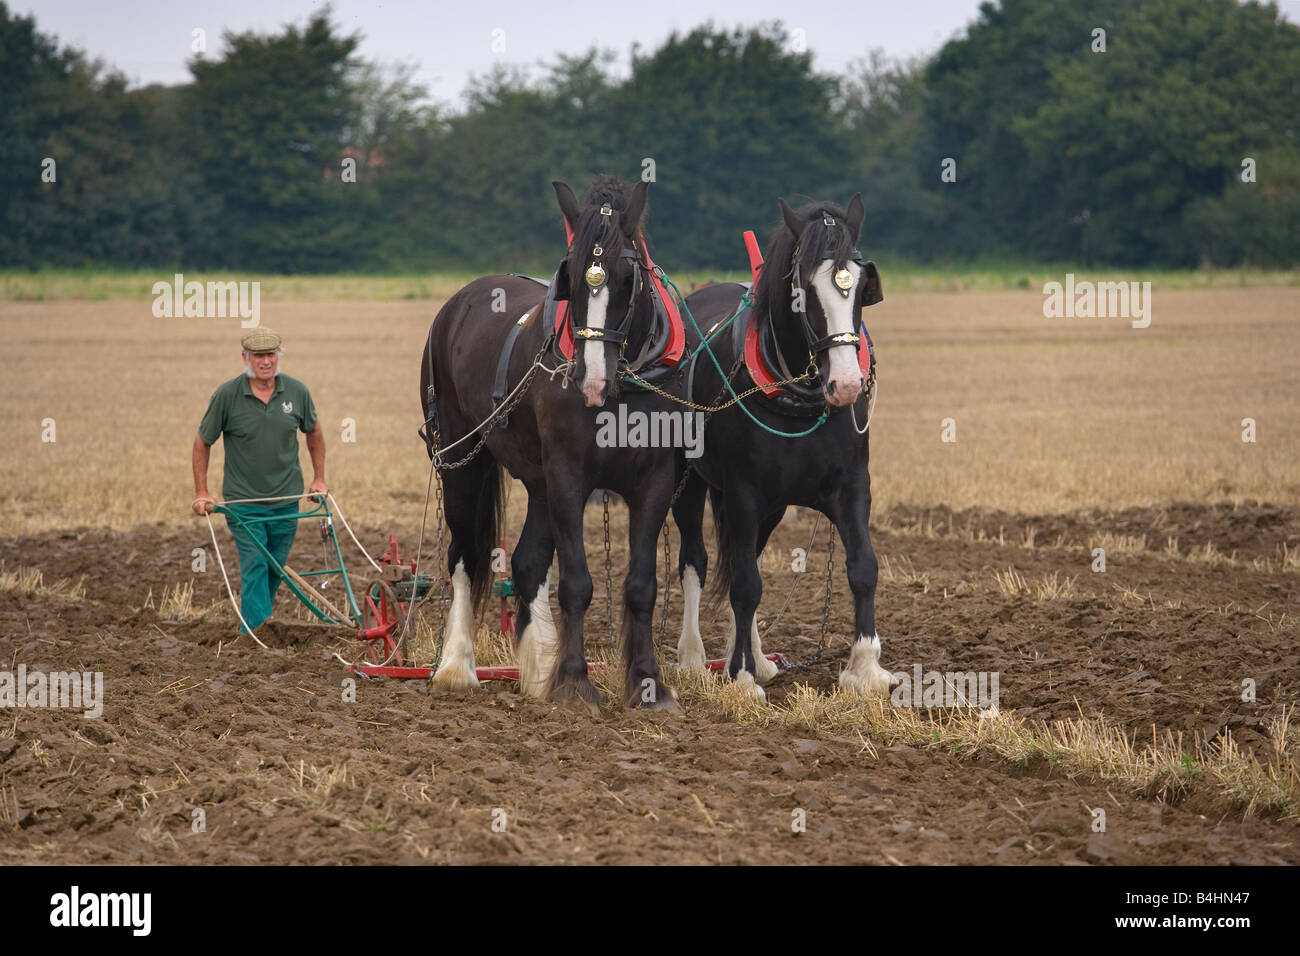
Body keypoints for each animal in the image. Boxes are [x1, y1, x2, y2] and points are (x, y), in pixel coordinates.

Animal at [418, 175, 685, 713]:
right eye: (572, 278)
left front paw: (647, 684)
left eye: (628, 277)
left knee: (527, 563)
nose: (591, 379)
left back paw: (537, 668)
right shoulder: (568, 476)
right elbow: (577, 582)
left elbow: (641, 585)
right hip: (460, 461)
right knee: (463, 553)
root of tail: (458, 303)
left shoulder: (655, 482)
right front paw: (576, 683)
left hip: (538, 483)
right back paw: (456, 666)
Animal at [671, 194, 895, 699]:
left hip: (770, 508)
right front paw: (740, 677)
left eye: (860, 289)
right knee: (697, 561)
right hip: (690, 484)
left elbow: (863, 566)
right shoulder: (742, 493)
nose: (846, 384)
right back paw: (694, 658)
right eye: (805, 291)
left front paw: (865, 668)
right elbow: (744, 585)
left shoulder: (852, 486)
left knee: (747, 558)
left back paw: (755, 655)